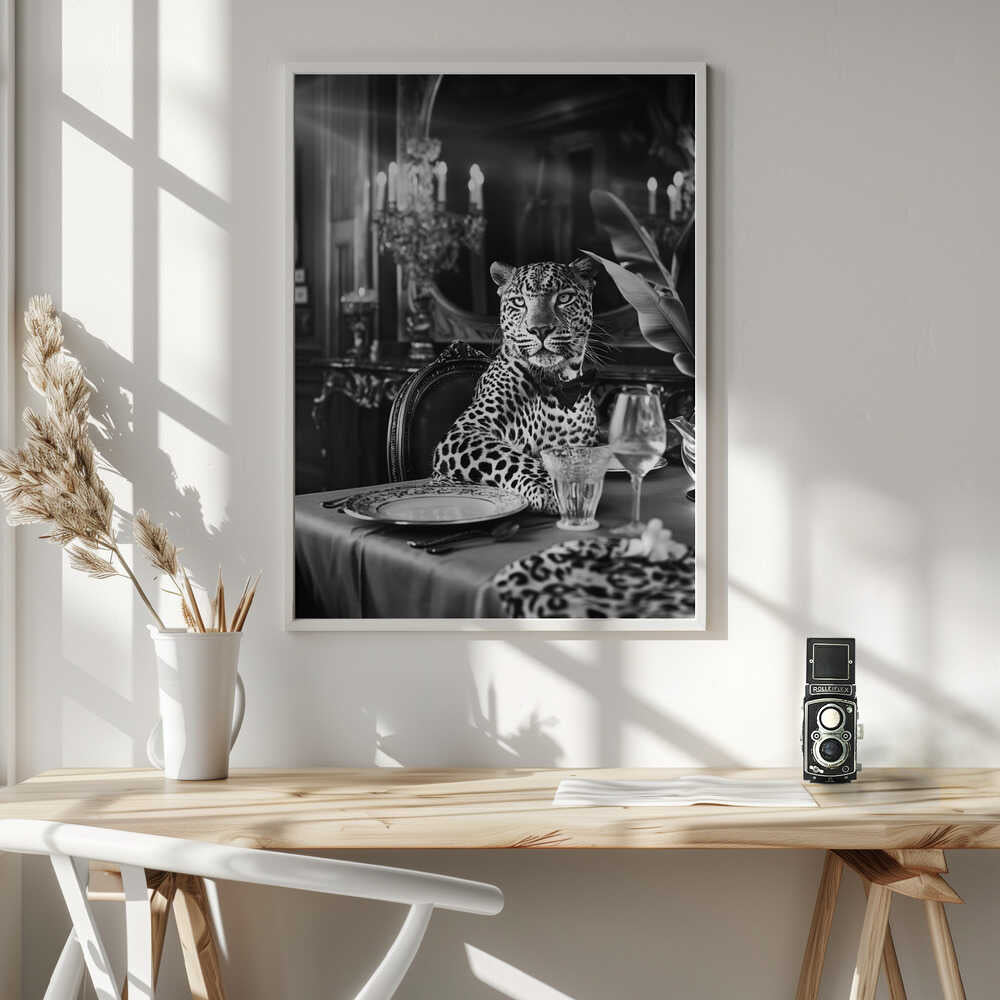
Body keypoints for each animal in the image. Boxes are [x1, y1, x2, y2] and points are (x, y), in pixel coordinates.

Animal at [432, 257, 602, 513]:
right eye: (519, 302)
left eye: (563, 298)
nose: (540, 329)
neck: (558, 384)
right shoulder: (465, 432)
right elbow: (510, 457)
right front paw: (551, 488)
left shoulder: (585, 445)